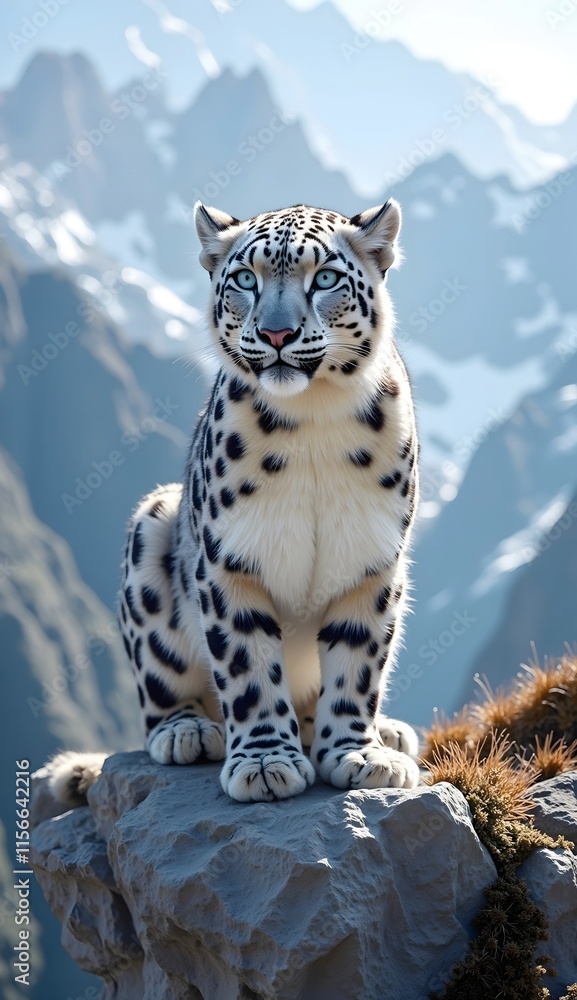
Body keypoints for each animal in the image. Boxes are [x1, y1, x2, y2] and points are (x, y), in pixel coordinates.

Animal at [48, 198, 422, 806]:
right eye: (246, 279)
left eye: (325, 279)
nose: (277, 332)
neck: (313, 420)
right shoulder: (230, 560)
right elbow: (248, 665)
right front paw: (266, 763)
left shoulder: (372, 562)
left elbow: (359, 662)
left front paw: (359, 754)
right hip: (152, 530)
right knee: (161, 693)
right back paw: (190, 732)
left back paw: (386, 732)